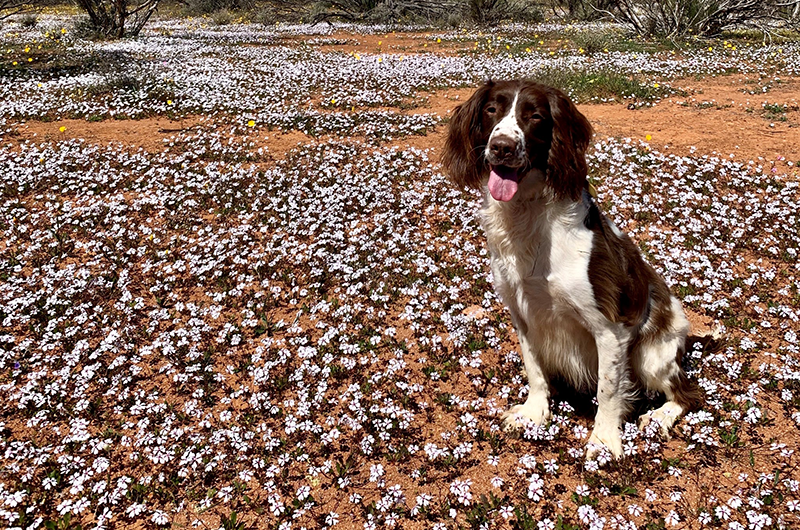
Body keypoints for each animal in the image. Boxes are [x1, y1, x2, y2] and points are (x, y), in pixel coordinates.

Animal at [444, 79, 708, 458]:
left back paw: (659, 416)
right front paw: (533, 413)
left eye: (535, 116)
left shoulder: (610, 328)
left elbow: (608, 391)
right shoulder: (524, 314)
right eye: (491, 110)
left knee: (688, 394)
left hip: (651, 355)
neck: (529, 215)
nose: (502, 147)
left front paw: (604, 441)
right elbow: (535, 370)